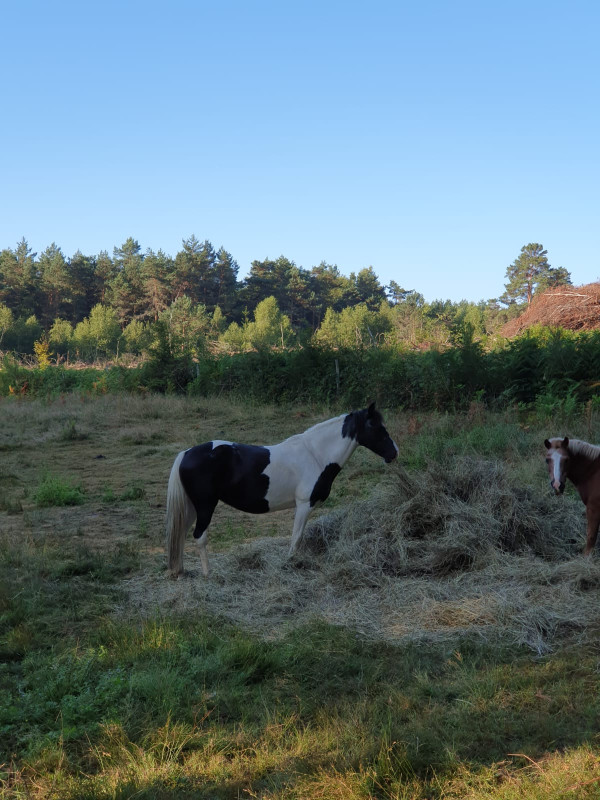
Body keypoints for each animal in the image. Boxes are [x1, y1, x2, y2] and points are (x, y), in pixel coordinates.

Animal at [166, 403, 398, 577]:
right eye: (376, 427)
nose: (394, 453)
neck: (316, 455)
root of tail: (186, 453)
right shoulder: (304, 505)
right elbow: (296, 538)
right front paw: (289, 564)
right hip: (205, 505)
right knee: (199, 536)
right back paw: (208, 574)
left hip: (191, 507)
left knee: (181, 535)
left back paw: (181, 571)